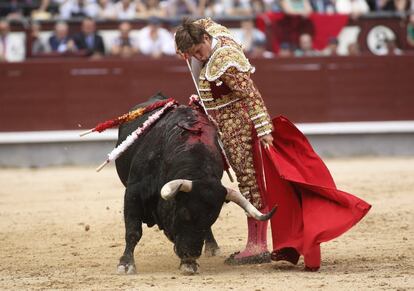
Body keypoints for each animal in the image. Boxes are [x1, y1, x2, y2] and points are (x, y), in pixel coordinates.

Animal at [115, 94, 274, 276]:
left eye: (211, 220)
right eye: (184, 213)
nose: (191, 254)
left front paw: (188, 264)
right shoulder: (133, 193)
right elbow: (133, 231)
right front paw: (126, 264)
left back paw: (211, 247)